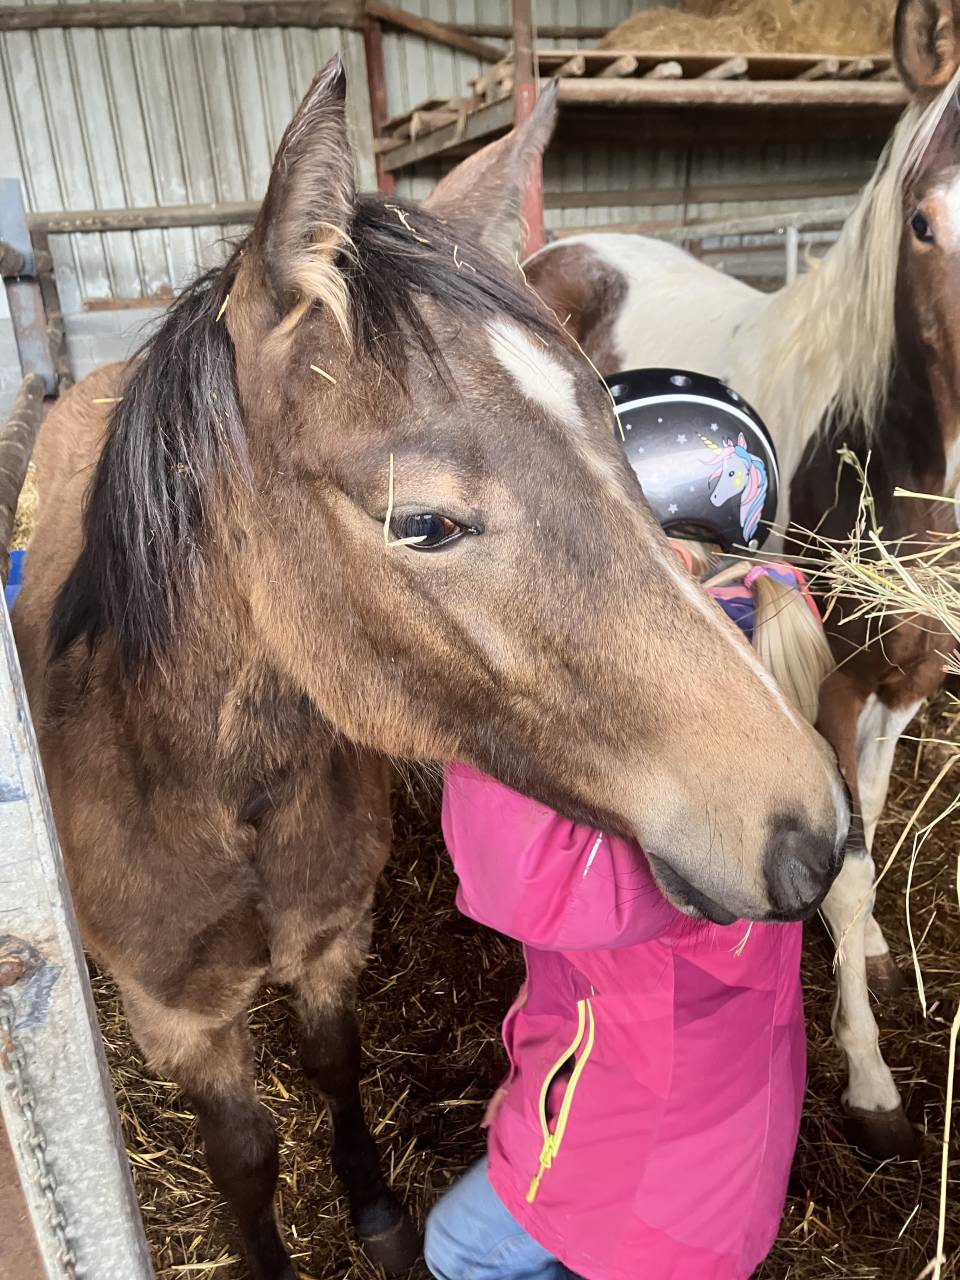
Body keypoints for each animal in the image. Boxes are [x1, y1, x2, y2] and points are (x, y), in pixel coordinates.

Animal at [7, 61, 849, 1280]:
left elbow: (332, 1067)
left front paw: (375, 1213)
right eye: (425, 522)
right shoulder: (180, 1017)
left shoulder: (328, 940)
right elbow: (246, 1159)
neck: (201, 782)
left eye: (611, 431)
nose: (810, 831)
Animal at [524, 0, 960, 1162]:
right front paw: (870, 1080)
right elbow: (843, 871)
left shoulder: (906, 680)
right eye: (924, 224)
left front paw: (873, 956)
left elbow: (871, 822)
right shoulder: (824, 687)